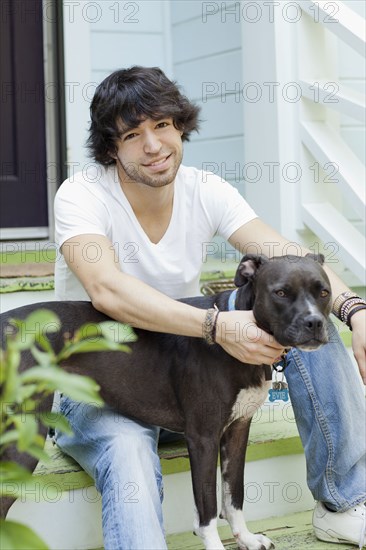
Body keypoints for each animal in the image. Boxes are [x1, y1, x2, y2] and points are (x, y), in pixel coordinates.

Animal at [0, 256, 332, 550]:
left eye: (324, 292)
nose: (315, 323)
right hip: (23, 438)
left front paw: (246, 539)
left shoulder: (238, 430)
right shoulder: (203, 437)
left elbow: (233, 494)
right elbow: (208, 506)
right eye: (280, 292)